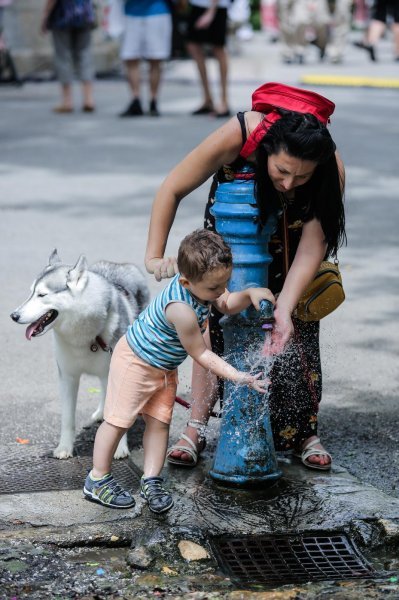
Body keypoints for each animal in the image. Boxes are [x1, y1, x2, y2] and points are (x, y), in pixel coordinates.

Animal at [11, 248, 152, 460]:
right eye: (31, 292)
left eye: (42, 294)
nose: (14, 316)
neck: (87, 338)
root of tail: (118, 264)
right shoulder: (67, 377)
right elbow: (67, 419)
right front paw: (64, 448)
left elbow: (117, 415)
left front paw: (119, 448)